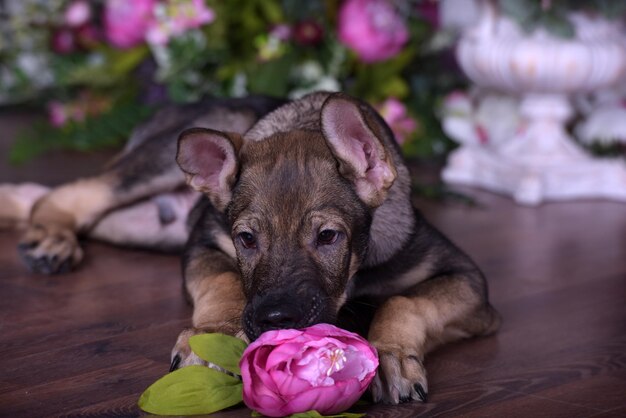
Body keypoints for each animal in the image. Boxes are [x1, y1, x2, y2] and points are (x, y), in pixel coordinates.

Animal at [12, 92, 500, 404]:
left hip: (145, 225)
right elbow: (225, 281)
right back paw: (52, 236)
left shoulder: (467, 279)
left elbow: (404, 300)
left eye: (328, 237)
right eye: (246, 239)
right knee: (76, 192)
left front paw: (392, 355)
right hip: (157, 166)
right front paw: (213, 336)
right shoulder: (204, 243)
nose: (275, 320)